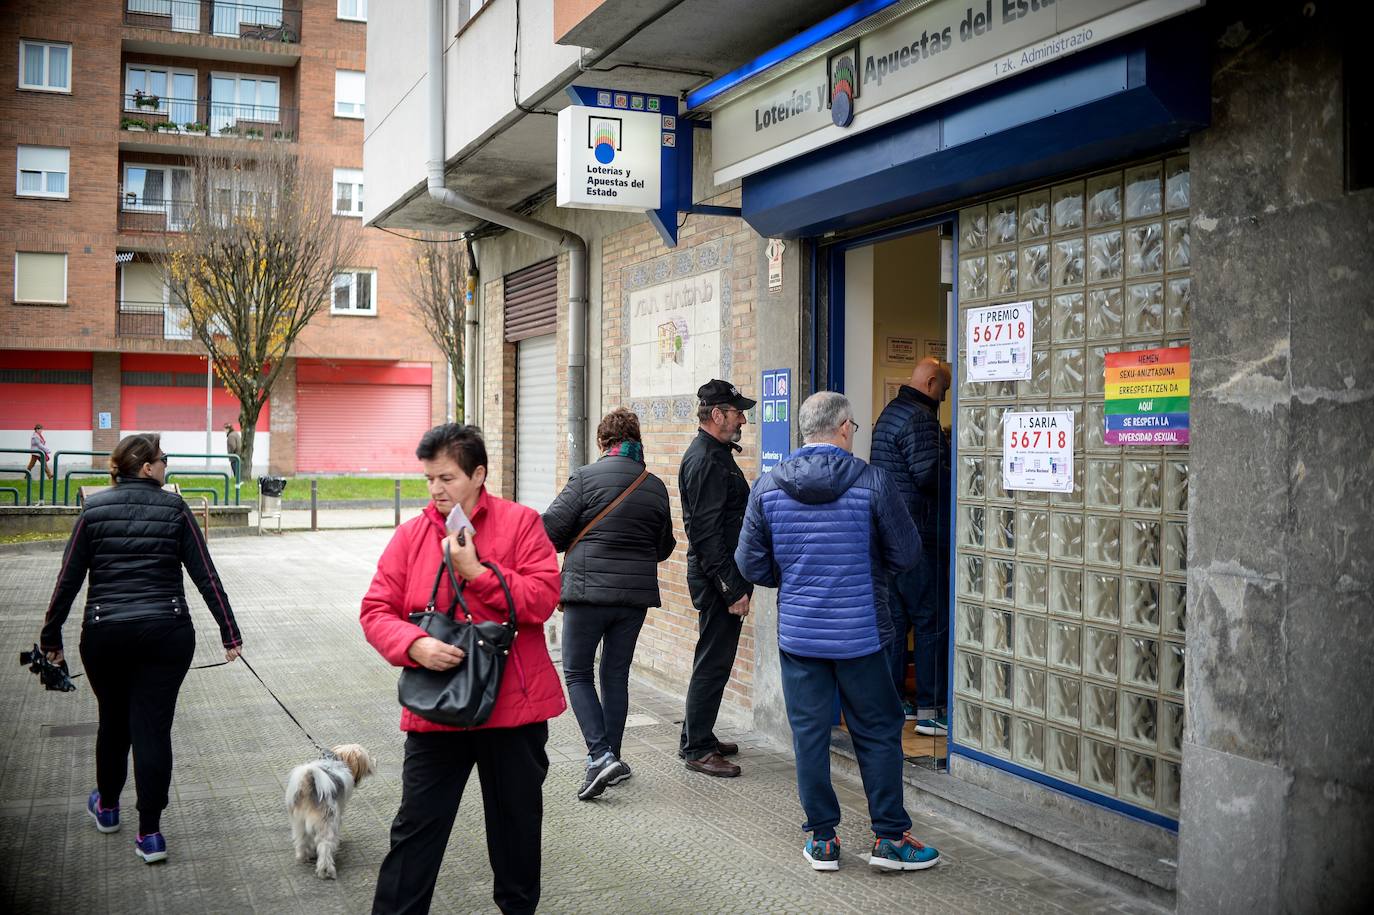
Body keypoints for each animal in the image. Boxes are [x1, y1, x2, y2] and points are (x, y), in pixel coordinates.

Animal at [285, 741, 376, 879]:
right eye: (367, 756)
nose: (375, 761)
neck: (336, 759)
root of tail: (308, 783)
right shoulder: (339, 810)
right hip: (327, 822)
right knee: (325, 846)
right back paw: (326, 870)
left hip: (298, 822)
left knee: (301, 839)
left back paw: (304, 856)